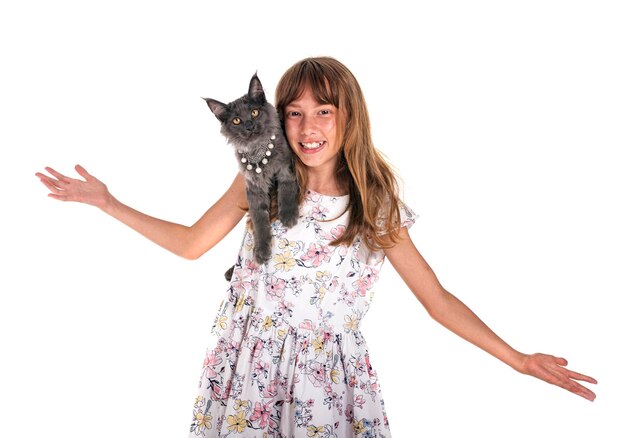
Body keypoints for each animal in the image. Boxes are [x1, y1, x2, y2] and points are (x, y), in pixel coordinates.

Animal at [201, 72, 296, 278]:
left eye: (254, 112)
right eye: (236, 120)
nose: (250, 125)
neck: (258, 150)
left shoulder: (286, 167)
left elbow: (286, 190)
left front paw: (288, 214)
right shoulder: (254, 187)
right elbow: (259, 220)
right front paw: (261, 251)